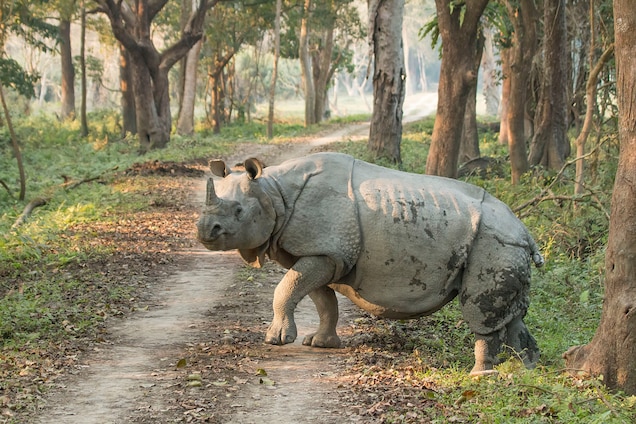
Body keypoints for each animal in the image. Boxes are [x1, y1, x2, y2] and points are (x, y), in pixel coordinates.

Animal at [196, 152, 544, 374]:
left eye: (239, 211)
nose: (204, 231)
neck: (273, 192)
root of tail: (526, 231)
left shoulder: (327, 250)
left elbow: (286, 289)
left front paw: (277, 340)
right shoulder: (324, 253)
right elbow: (321, 299)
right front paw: (321, 344)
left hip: (494, 241)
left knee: (482, 312)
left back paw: (480, 376)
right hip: (505, 245)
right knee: (510, 314)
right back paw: (527, 370)